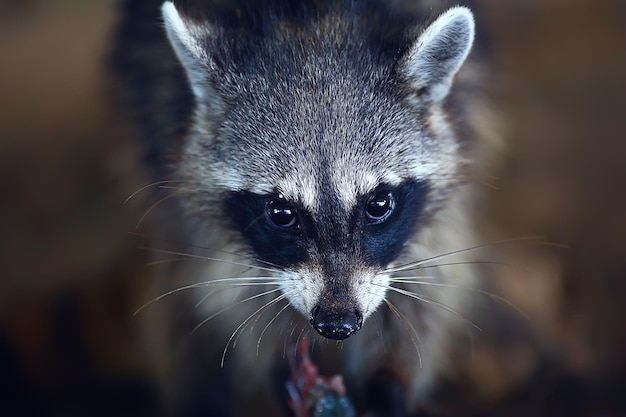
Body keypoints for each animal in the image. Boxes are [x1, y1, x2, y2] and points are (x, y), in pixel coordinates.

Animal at [111, 0, 492, 416]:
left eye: (378, 204)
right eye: (281, 213)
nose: (337, 324)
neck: (312, 26)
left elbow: (425, 298)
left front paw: (390, 380)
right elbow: (221, 297)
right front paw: (276, 362)